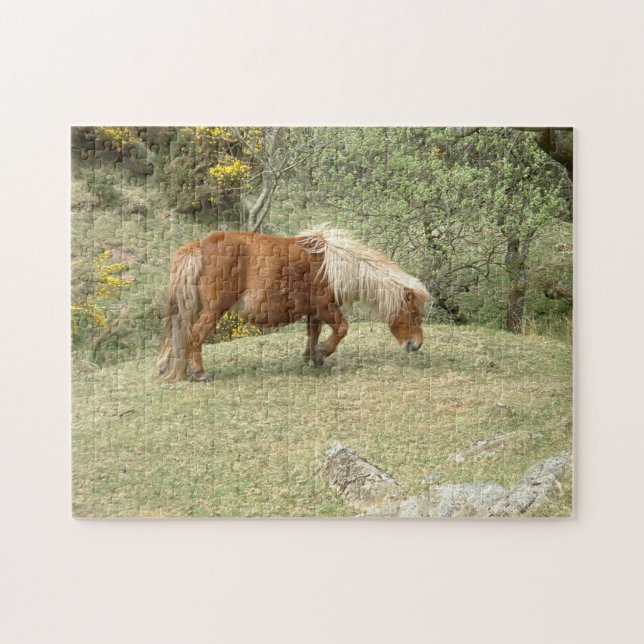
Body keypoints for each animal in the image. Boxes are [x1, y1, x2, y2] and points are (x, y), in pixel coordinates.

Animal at [157, 225, 430, 382]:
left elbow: (313, 333)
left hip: (194, 307)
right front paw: (322, 353)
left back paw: (166, 367)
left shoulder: (315, 312)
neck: (331, 265)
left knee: (176, 336)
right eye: (413, 311)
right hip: (213, 310)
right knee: (194, 335)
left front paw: (312, 358)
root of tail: (199, 246)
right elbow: (342, 329)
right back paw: (200, 373)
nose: (415, 345)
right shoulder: (326, 307)